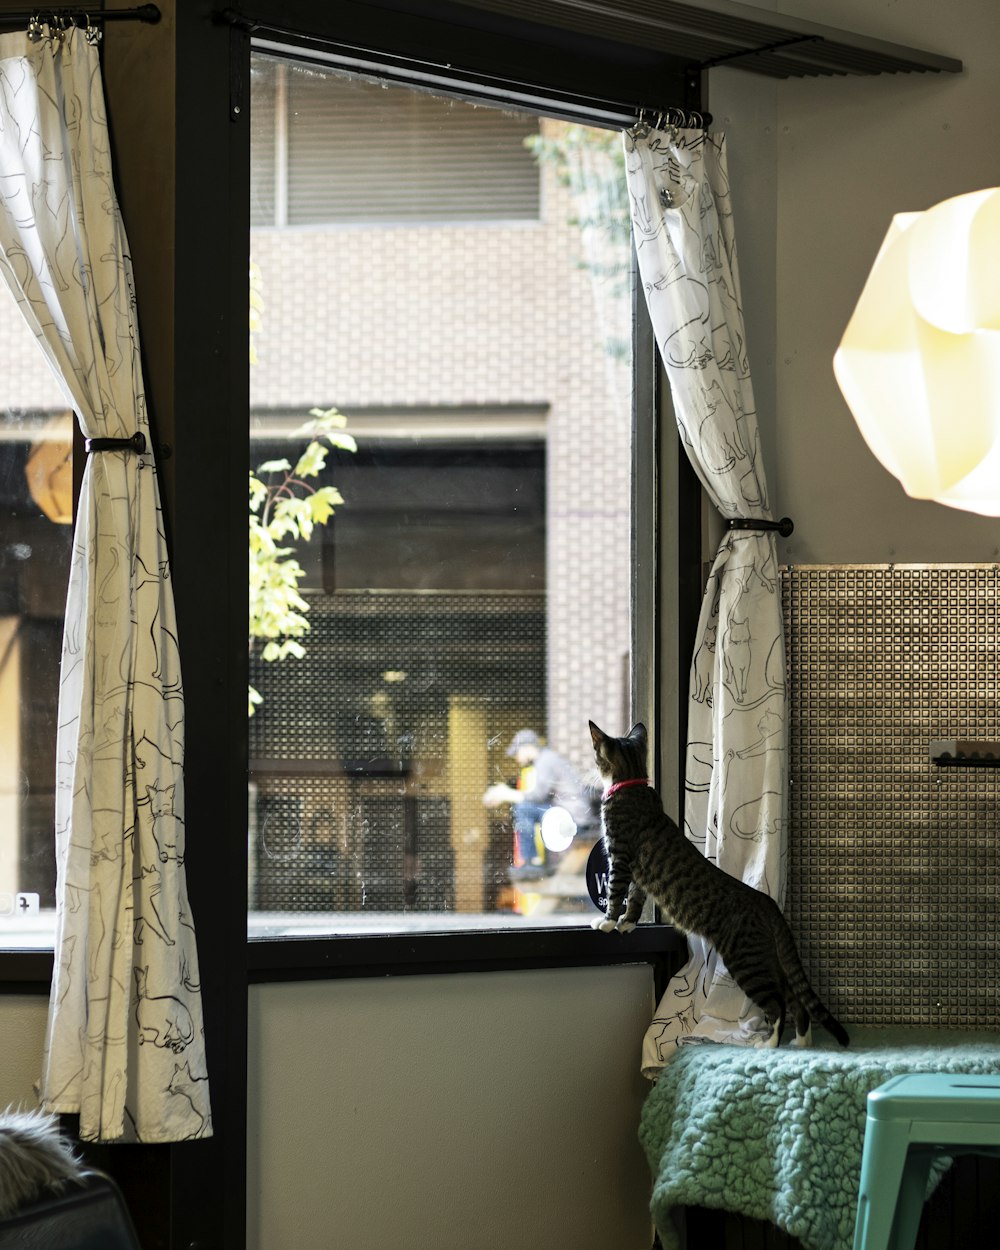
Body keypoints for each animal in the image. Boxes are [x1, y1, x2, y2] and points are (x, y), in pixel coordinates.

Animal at [590, 720, 850, 1050]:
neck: (630, 782)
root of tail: (767, 903)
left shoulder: (620, 857)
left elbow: (615, 893)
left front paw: (608, 922)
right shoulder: (637, 874)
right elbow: (635, 900)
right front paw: (626, 924)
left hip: (746, 961)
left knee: (778, 1002)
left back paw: (769, 1044)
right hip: (765, 958)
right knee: (795, 999)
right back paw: (800, 1043)